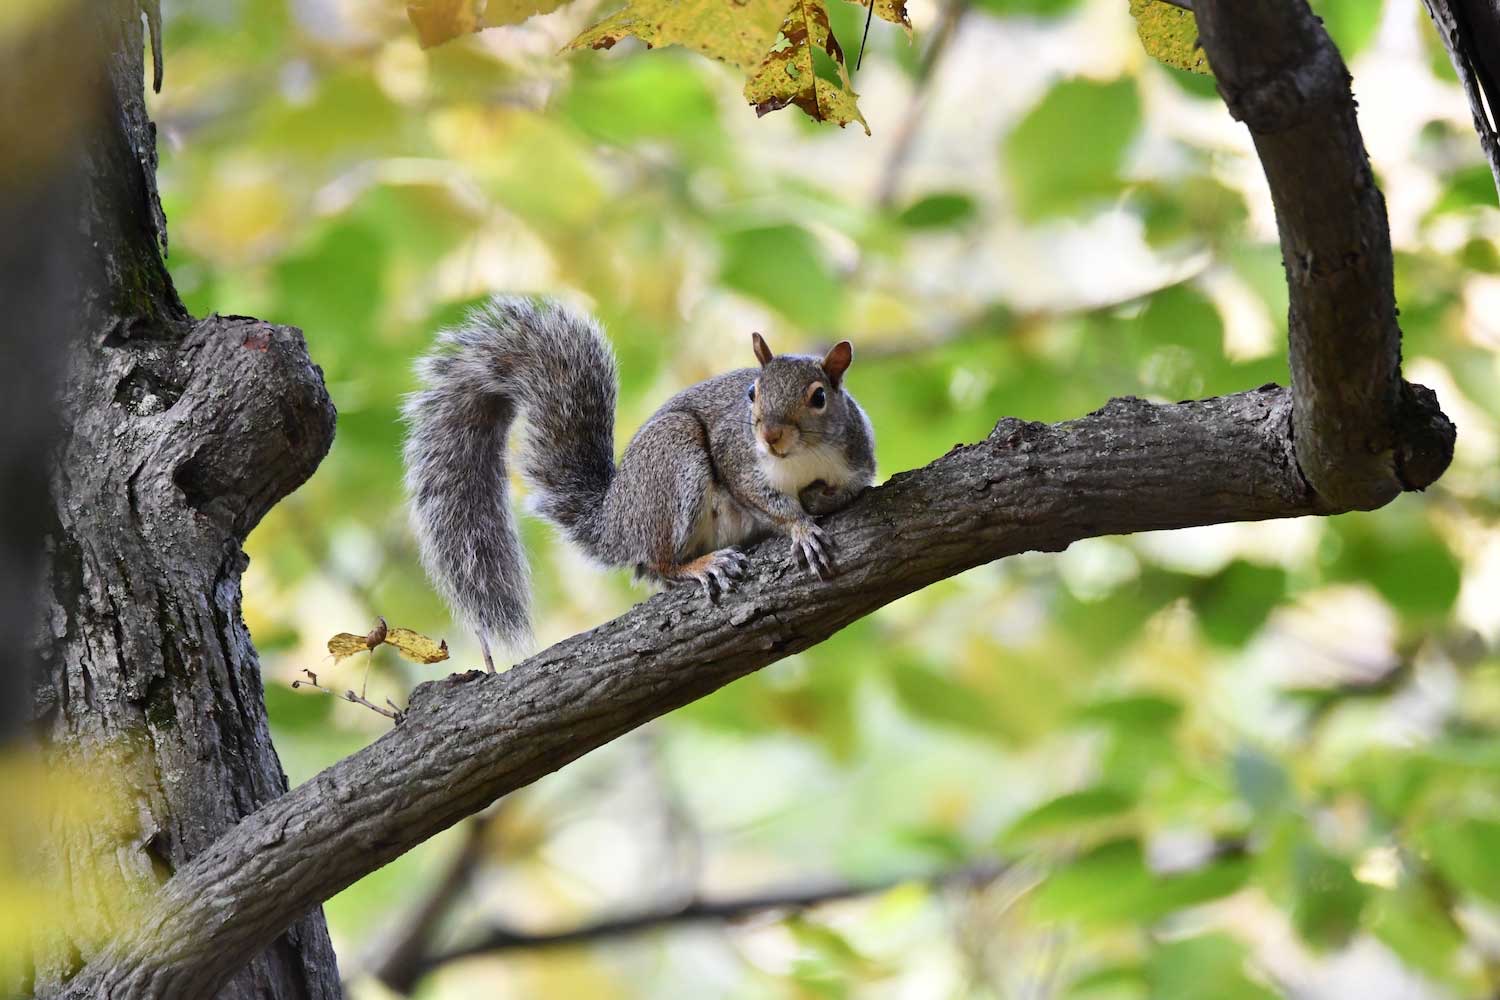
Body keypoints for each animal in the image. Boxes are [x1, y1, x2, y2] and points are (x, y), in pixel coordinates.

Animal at [402, 296, 876, 673]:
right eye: (752, 393)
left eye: (819, 397)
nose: (770, 435)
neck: (800, 461)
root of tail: (615, 520)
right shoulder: (737, 458)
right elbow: (764, 499)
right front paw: (802, 528)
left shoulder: (858, 461)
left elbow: (853, 488)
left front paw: (820, 500)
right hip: (673, 458)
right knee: (661, 563)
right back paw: (701, 565)